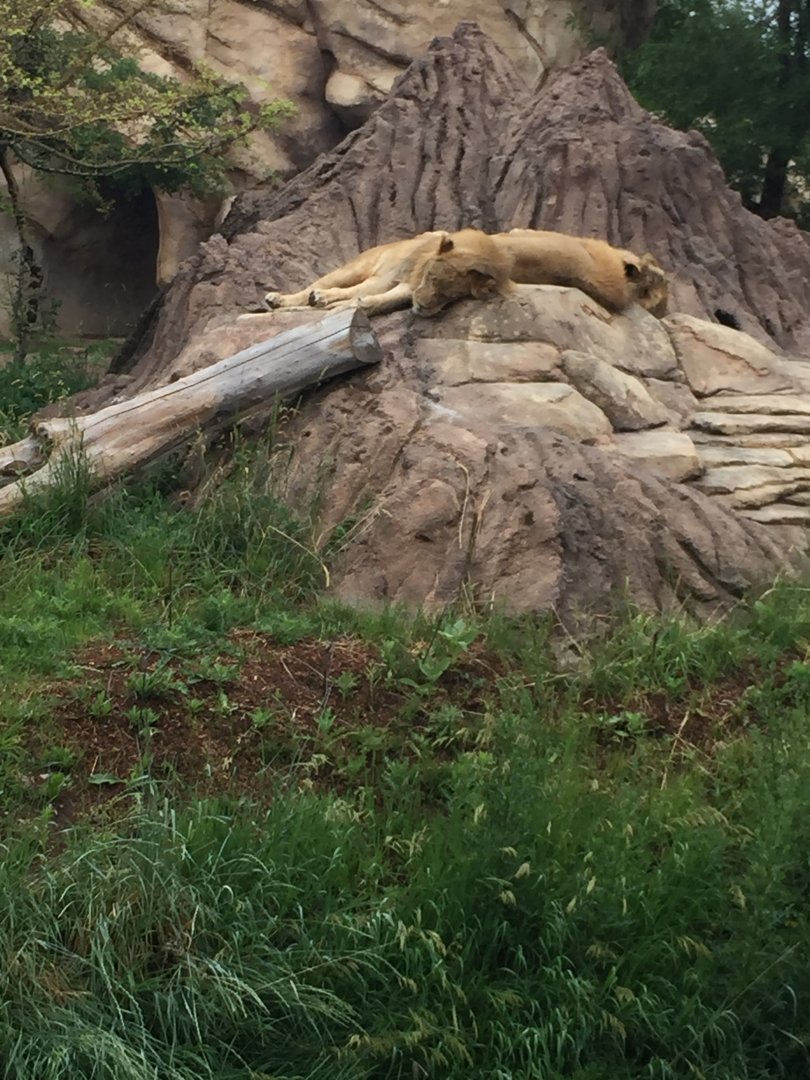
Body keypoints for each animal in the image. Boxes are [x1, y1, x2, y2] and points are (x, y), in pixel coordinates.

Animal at [263, 229, 509, 317]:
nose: (423, 308)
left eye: (451, 297)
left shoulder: (407, 287)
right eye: (432, 278)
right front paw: (326, 298)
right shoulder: (387, 278)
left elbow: (382, 300)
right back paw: (280, 299)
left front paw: (361, 305)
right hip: (353, 269)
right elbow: (351, 291)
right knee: (315, 286)